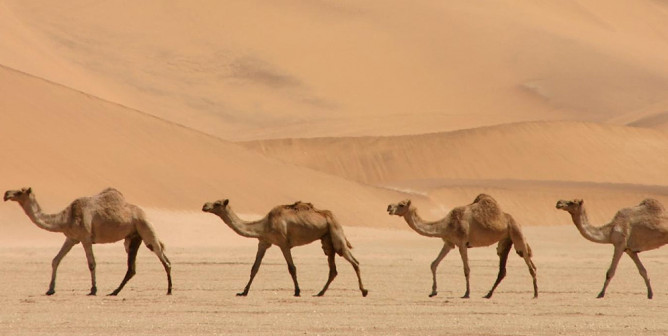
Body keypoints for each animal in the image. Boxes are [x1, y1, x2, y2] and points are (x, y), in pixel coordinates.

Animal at [4, 188, 172, 296]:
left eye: (19, 192)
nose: (6, 194)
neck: (65, 219)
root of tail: (144, 213)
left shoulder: (85, 237)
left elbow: (91, 263)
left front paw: (93, 289)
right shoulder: (71, 238)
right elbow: (55, 260)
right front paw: (50, 289)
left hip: (145, 228)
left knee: (162, 256)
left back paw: (169, 290)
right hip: (133, 237)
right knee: (132, 267)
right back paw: (114, 292)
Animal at [202, 200, 368, 296]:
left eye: (217, 203)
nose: (205, 206)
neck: (263, 226)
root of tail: (333, 216)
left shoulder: (283, 244)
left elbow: (291, 268)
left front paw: (297, 291)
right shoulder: (263, 242)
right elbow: (255, 268)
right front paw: (243, 291)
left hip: (336, 233)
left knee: (353, 261)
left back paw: (364, 291)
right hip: (327, 239)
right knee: (333, 268)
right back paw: (320, 293)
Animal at [386, 194, 536, 300]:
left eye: (401, 204)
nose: (389, 207)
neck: (446, 225)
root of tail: (514, 220)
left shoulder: (462, 243)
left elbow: (466, 269)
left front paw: (467, 293)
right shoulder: (449, 243)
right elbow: (434, 264)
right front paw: (433, 291)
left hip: (517, 234)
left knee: (529, 263)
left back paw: (535, 294)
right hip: (505, 240)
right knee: (503, 268)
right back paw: (488, 294)